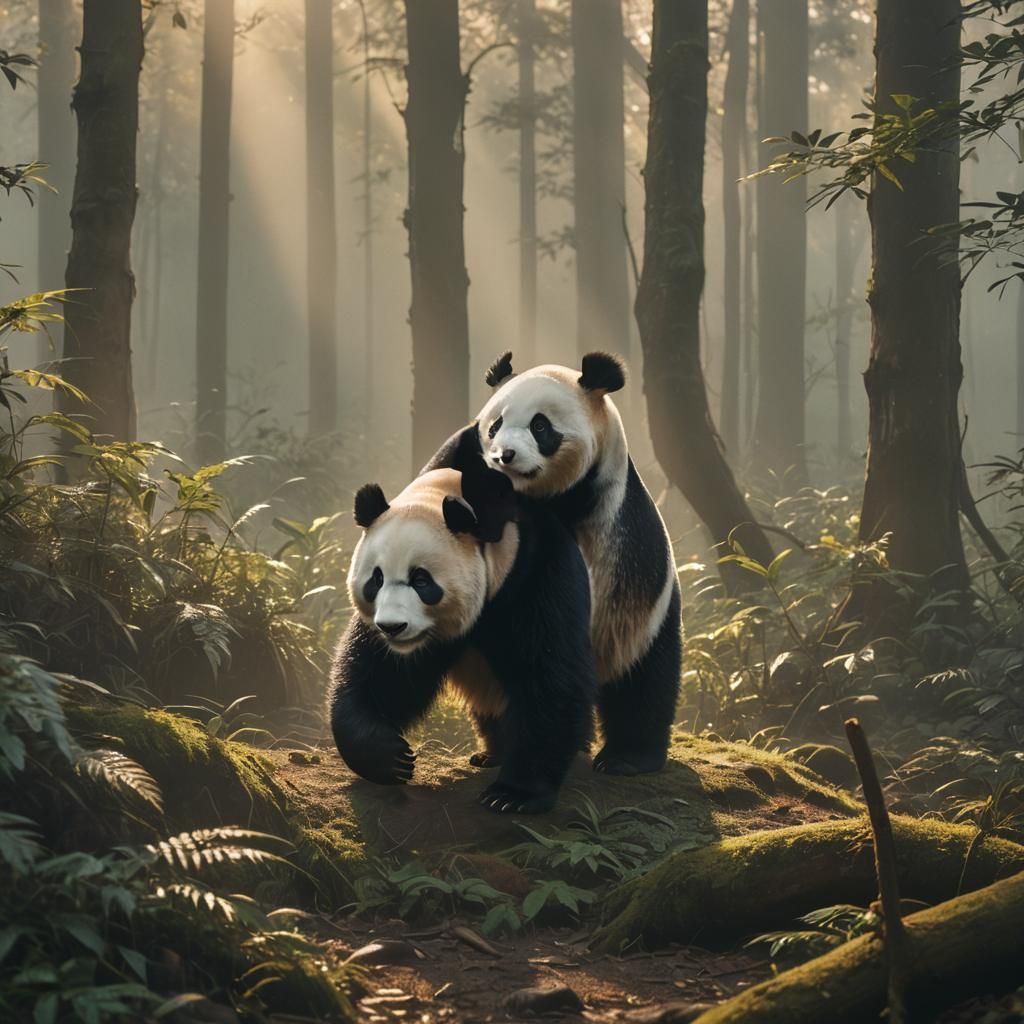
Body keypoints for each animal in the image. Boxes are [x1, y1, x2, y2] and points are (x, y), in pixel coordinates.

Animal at [328, 462, 596, 814]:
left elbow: (550, 676)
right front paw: (391, 758)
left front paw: (512, 795)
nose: (392, 627)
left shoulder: (534, 575)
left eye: (421, 580)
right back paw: (490, 754)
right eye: (376, 579)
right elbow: (378, 674)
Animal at [424, 351, 681, 777]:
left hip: (636, 622)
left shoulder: (612, 518)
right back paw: (496, 752)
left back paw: (627, 757)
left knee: (644, 680)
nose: (504, 456)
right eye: (495, 425)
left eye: (540, 426)